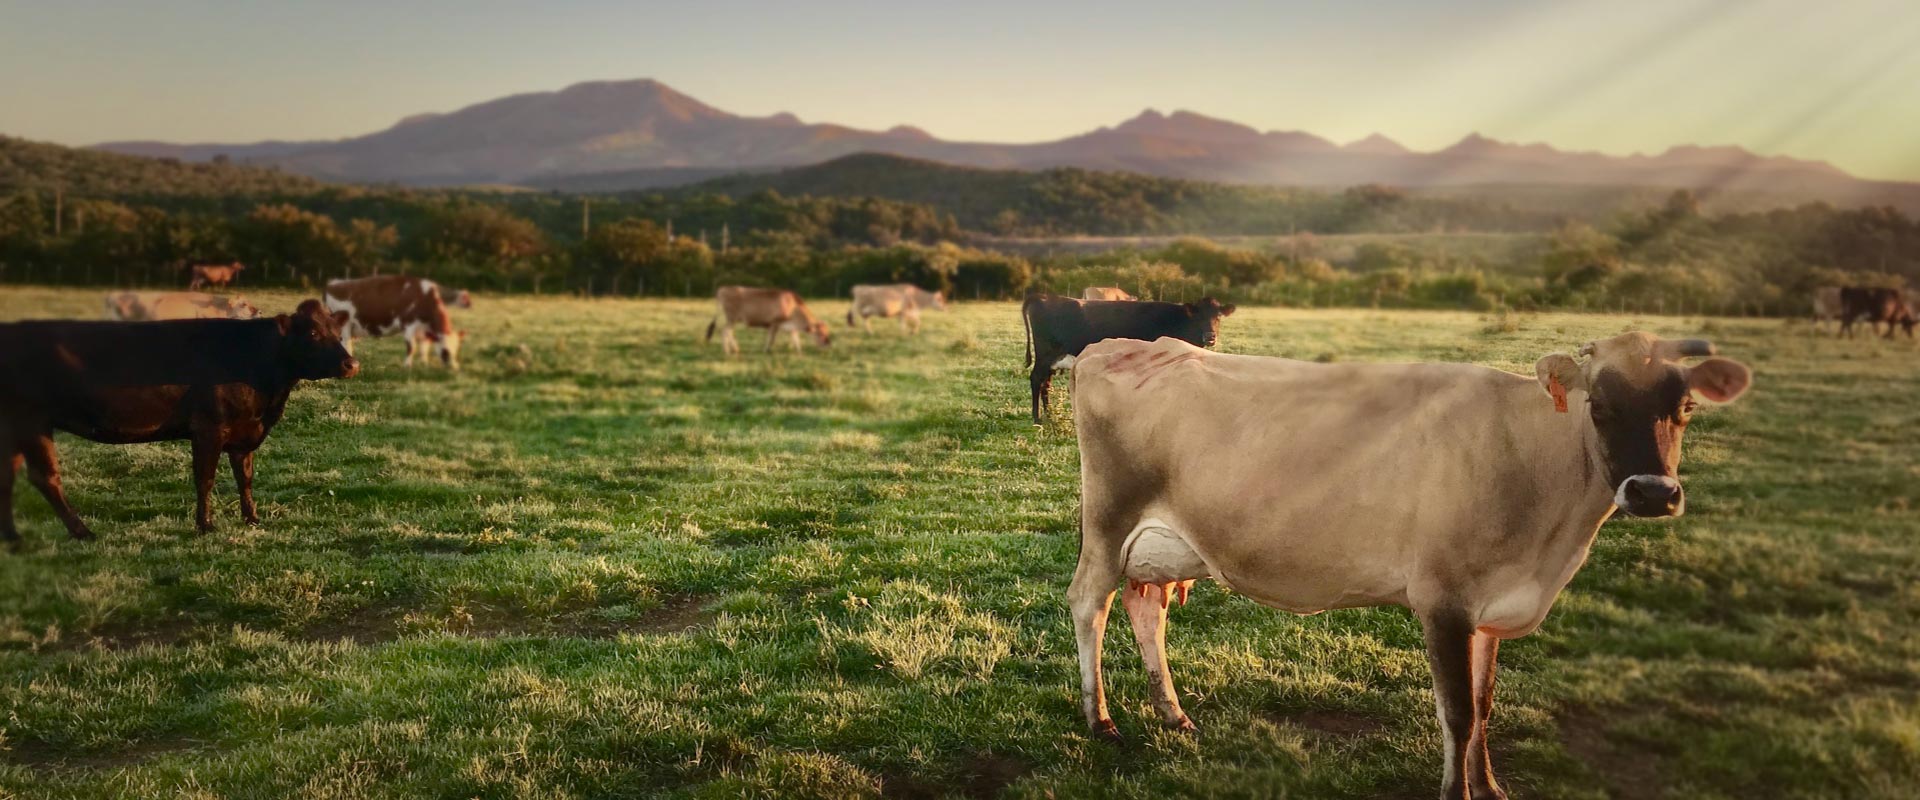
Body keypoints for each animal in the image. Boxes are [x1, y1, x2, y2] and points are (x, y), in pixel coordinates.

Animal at [0, 295, 360, 544]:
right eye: (312, 332)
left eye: (336, 330)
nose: (351, 364)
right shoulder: (208, 428)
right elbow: (205, 479)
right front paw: (206, 526)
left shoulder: (244, 432)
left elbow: (244, 478)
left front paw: (253, 519)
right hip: (31, 420)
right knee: (45, 478)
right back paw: (82, 531)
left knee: (10, 475)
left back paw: (14, 538)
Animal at [322, 274, 468, 368]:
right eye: (445, 351)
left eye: (456, 349)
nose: (454, 368)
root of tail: (333, 283)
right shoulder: (408, 324)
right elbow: (411, 347)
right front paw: (407, 366)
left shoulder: (425, 330)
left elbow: (424, 347)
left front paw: (424, 363)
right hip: (344, 324)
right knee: (346, 343)